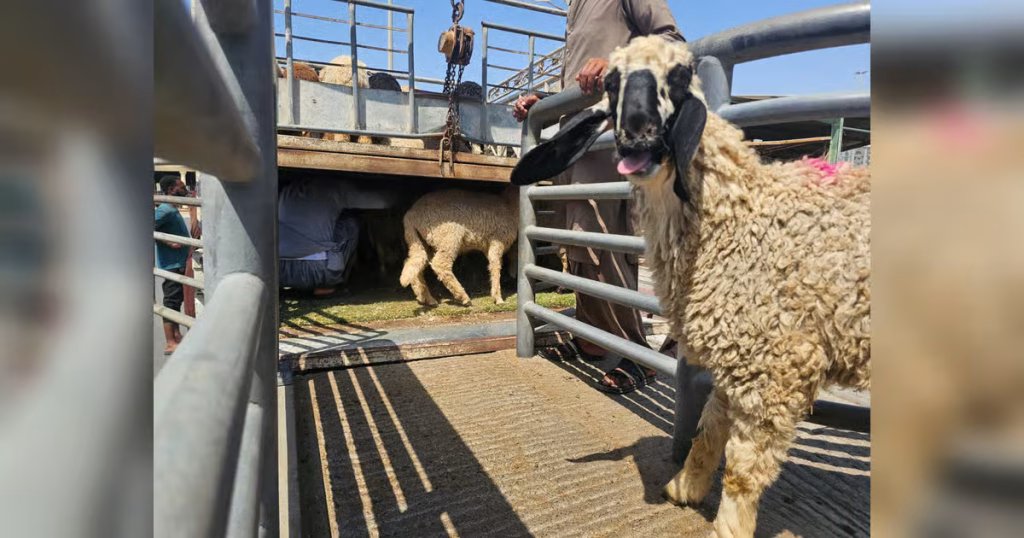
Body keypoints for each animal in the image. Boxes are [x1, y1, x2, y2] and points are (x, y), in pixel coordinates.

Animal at [511, 36, 870, 538]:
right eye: (612, 82)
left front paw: (728, 526)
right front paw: (685, 487)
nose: (637, 132)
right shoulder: (741, 356)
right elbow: (709, 428)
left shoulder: (776, 364)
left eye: (680, 77)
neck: (744, 218)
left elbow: (742, 468)